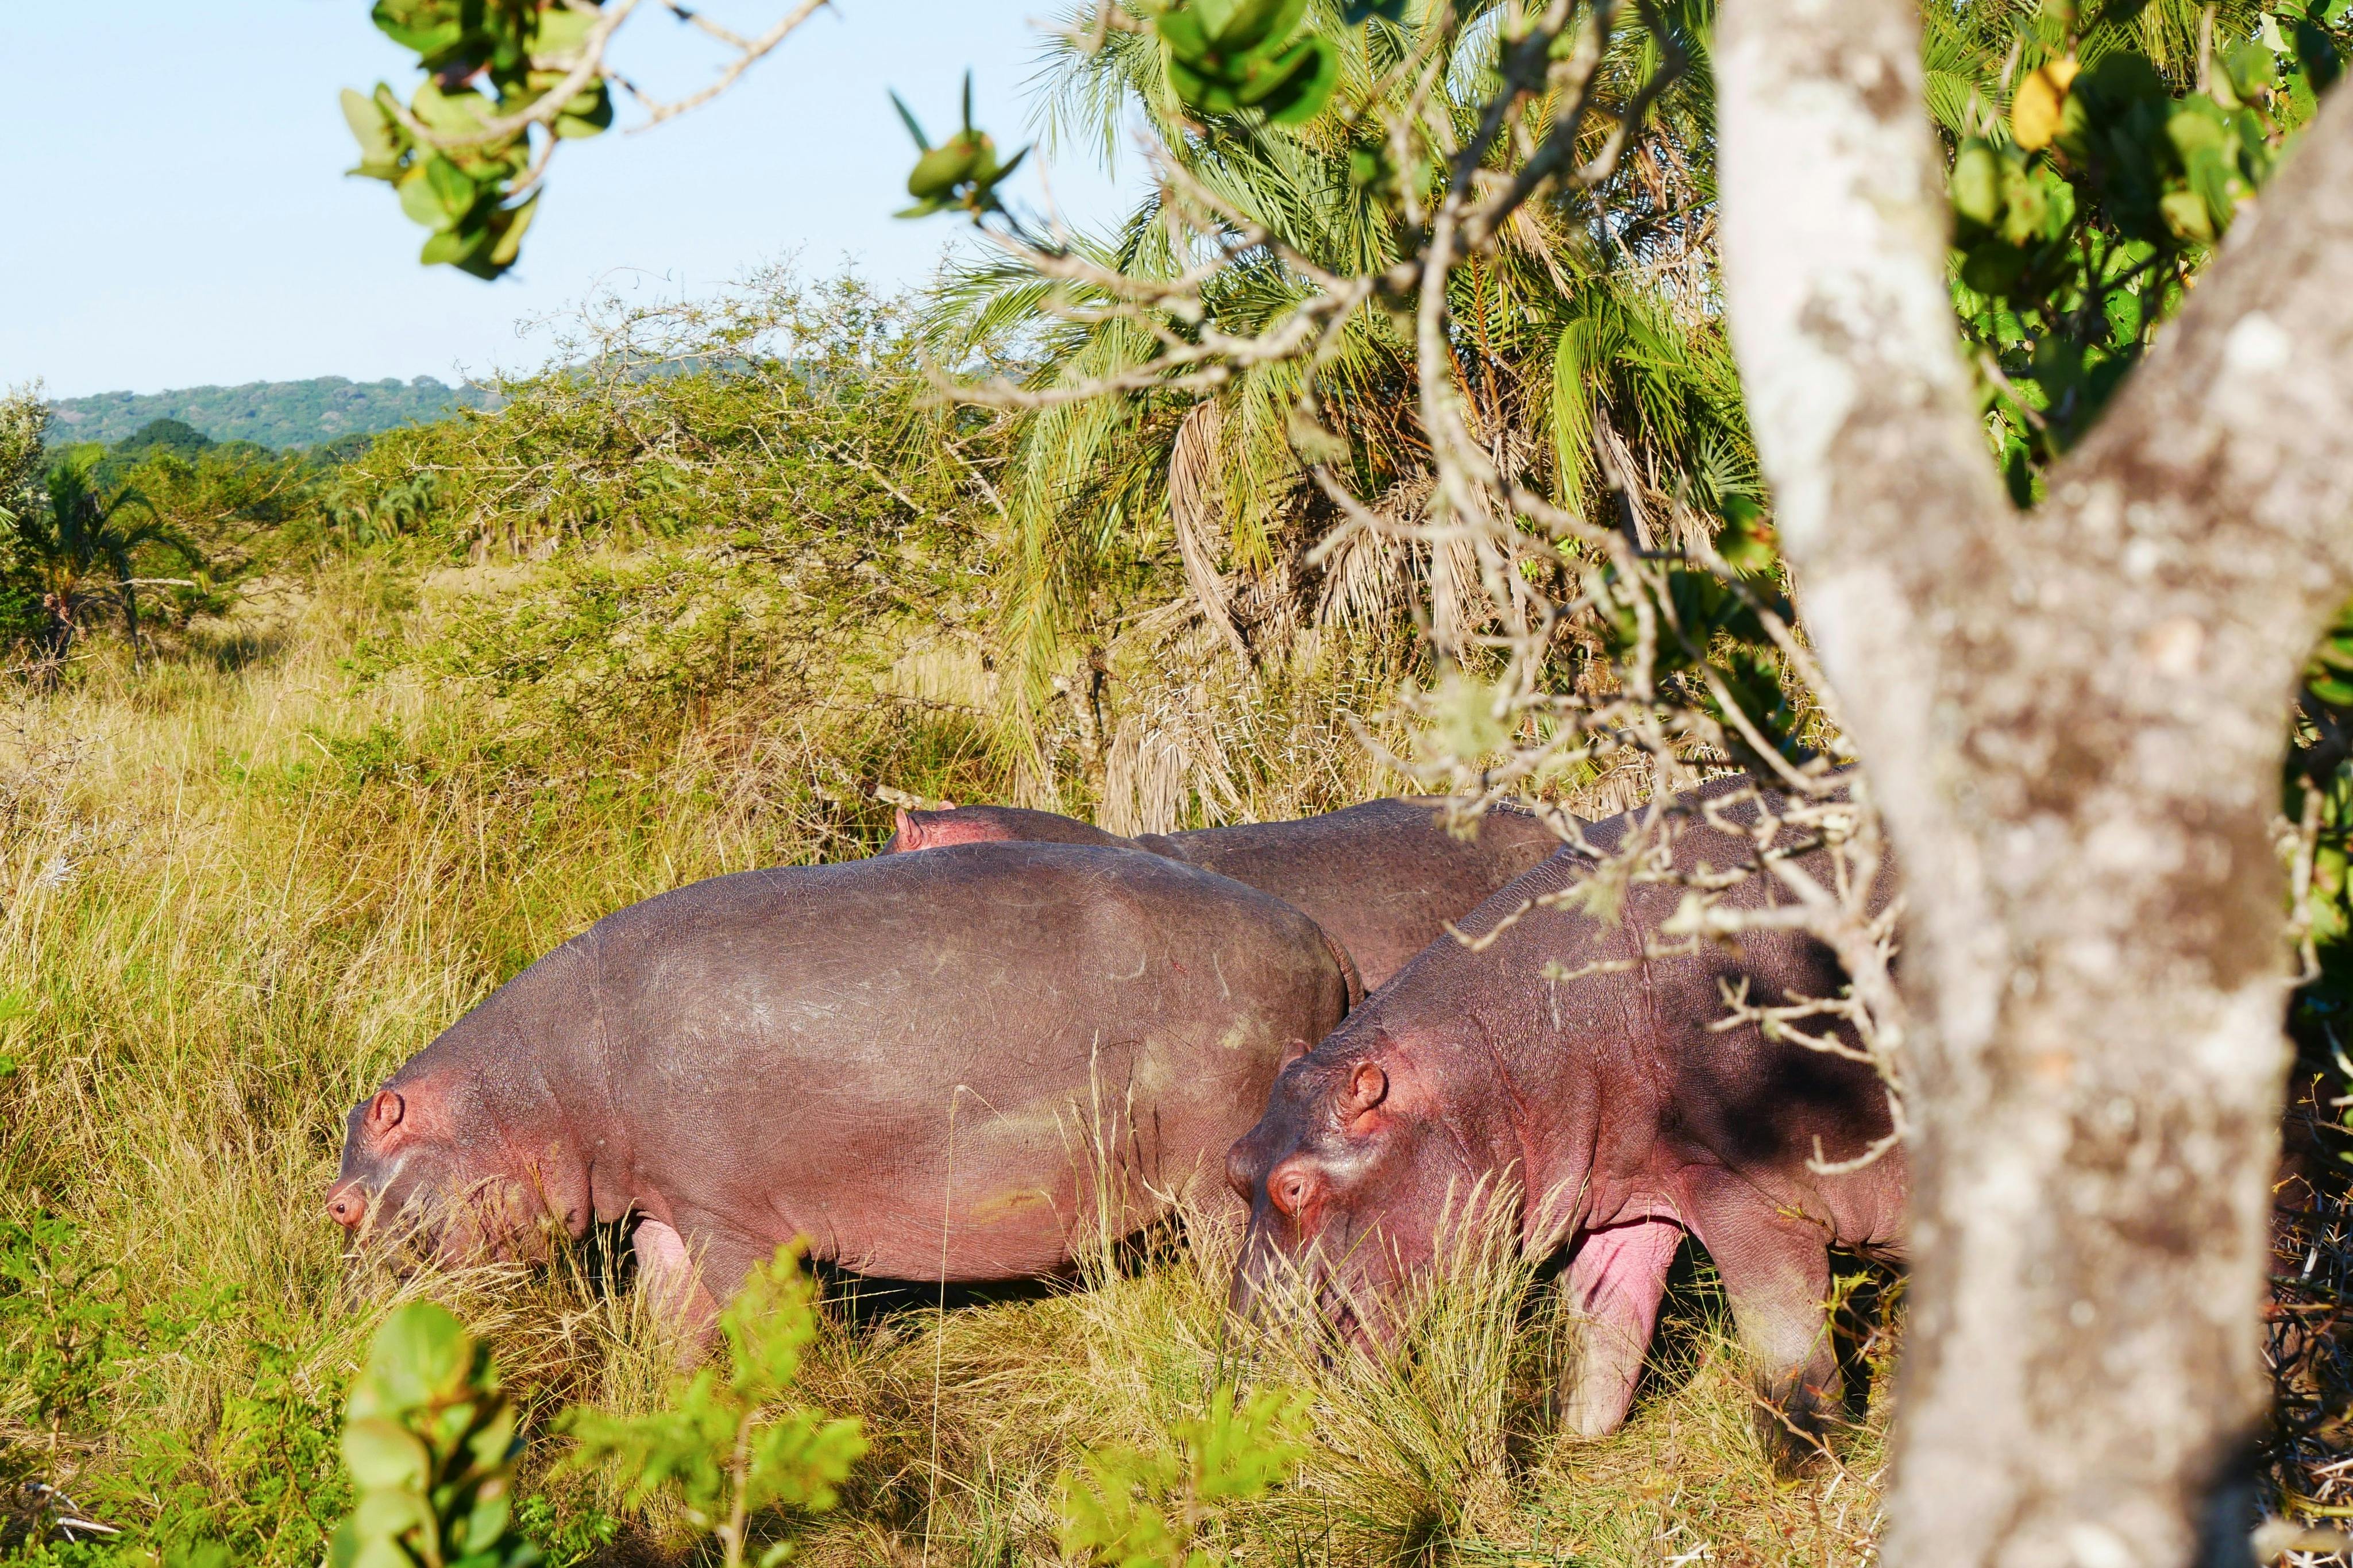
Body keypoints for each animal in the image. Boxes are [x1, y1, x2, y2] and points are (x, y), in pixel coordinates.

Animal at [327, 843, 1356, 1320]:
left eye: (341, 1201)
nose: (344, 1314)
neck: (537, 1079)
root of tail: (1319, 938)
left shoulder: (732, 1212)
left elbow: (752, 1316)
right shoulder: (668, 1199)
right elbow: (675, 1321)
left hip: (1217, 1171)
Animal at [1223, 784, 1905, 1471]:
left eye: (1295, 1187)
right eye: (1234, 1165)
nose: (1242, 1400)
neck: (1498, 1060)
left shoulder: (1745, 1190)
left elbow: (1783, 1339)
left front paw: (1804, 1467)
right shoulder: (1627, 1195)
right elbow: (1602, 1332)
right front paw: (1571, 1442)